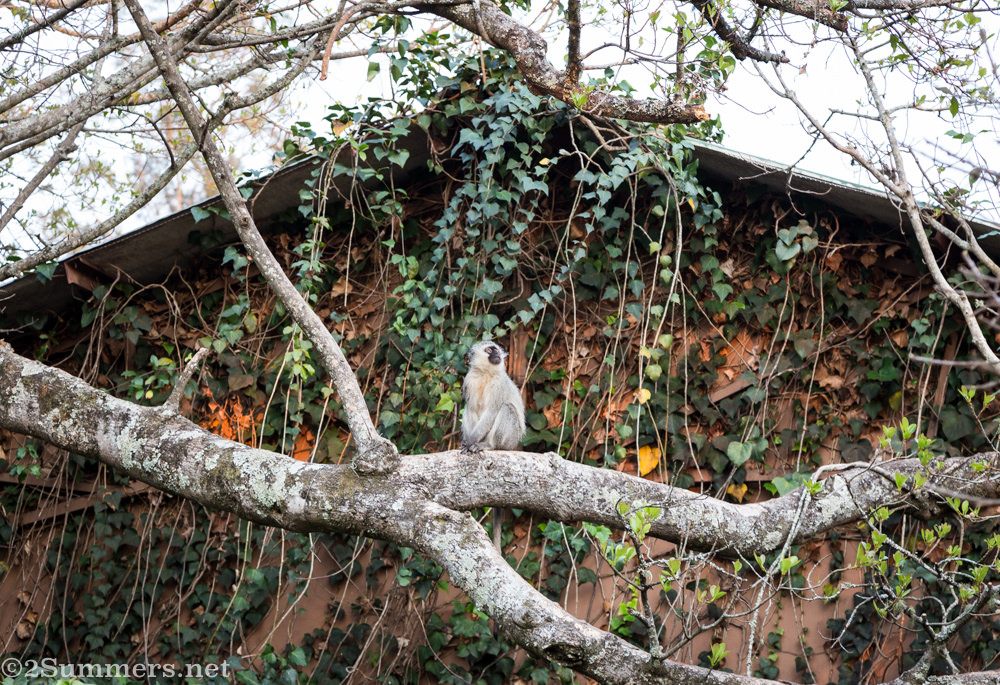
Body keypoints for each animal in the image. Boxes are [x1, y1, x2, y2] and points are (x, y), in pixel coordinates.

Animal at [461, 340, 525, 551]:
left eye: (496, 349)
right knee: (468, 409)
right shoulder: (469, 381)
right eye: (489, 350)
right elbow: (472, 409)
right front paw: (466, 442)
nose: (497, 355)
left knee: (506, 408)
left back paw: (489, 446)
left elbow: (491, 411)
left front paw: (471, 443)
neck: (485, 374)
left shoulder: (499, 386)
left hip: (511, 438)